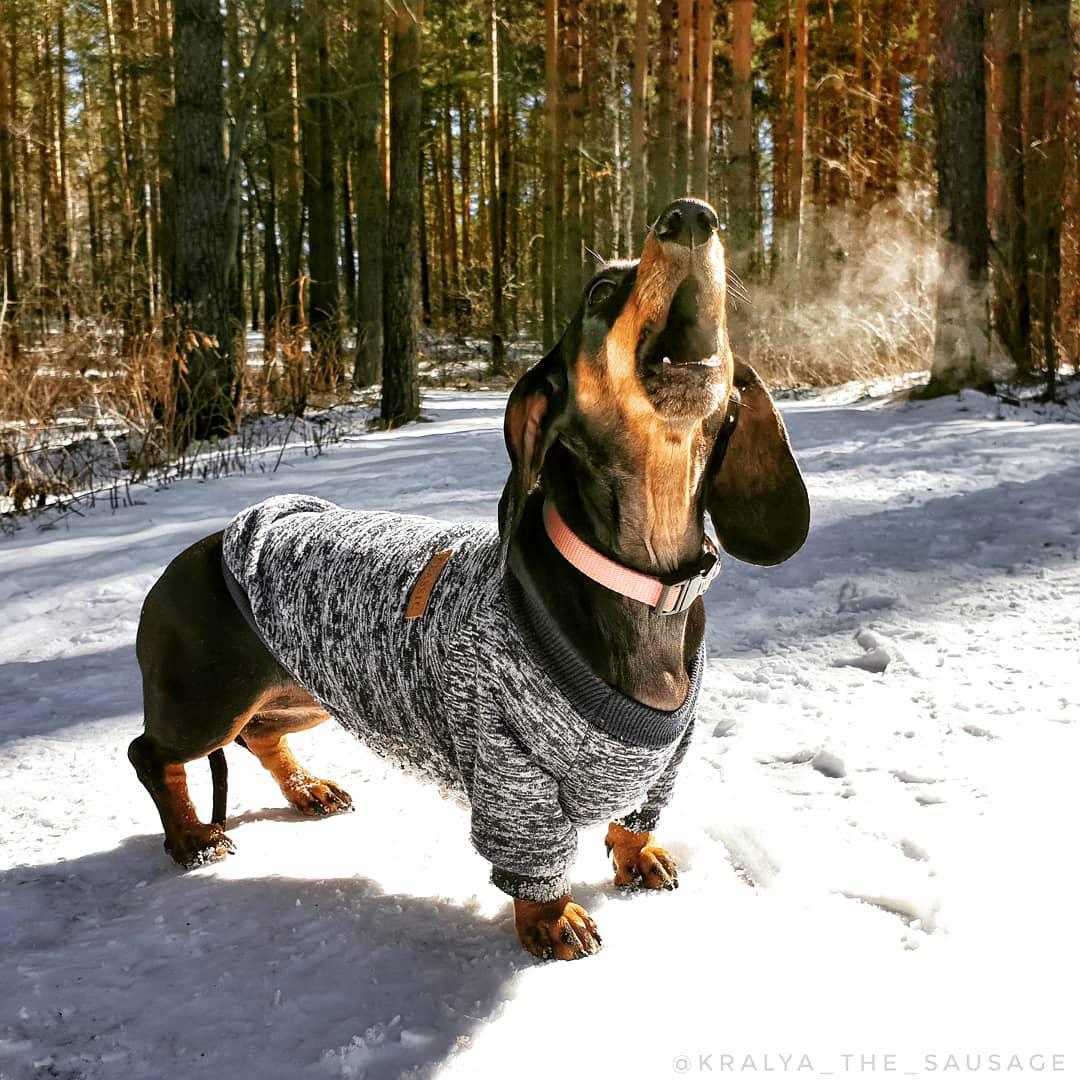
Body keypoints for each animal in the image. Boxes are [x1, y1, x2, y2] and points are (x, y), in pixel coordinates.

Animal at [128, 200, 812, 963]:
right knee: (151, 753)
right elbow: (536, 861)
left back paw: (307, 790)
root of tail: (189, 557)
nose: (691, 215)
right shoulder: (510, 769)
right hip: (204, 703)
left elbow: (637, 816)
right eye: (601, 291)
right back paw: (191, 835)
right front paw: (553, 919)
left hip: (302, 692)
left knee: (258, 738)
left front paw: (639, 855)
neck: (642, 584)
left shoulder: (664, 758)